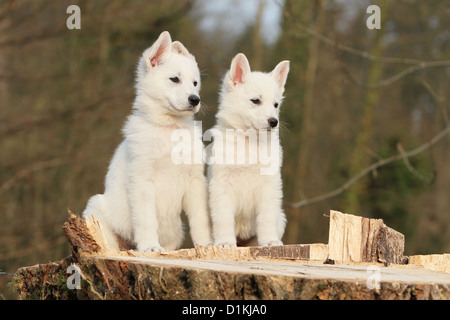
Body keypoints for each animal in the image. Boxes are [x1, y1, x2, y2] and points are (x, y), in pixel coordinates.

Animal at [83, 31, 213, 251]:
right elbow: (146, 219)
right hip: (96, 209)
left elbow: (200, 218)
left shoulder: (195, 180)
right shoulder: (142, 182)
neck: (169, 129)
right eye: (174, 79)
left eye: (195, 83)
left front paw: (206, 245)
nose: (195, 99)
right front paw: (150, 247)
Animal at [208, 53, 290, 248]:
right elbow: (223, 218)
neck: (249, 141)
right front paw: (225, 242)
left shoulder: (269, 187)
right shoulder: (221, 186)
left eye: (276, 105)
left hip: (280, 219)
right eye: (256, 101)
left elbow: (266, 218)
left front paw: (270, 241)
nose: (274, 122)